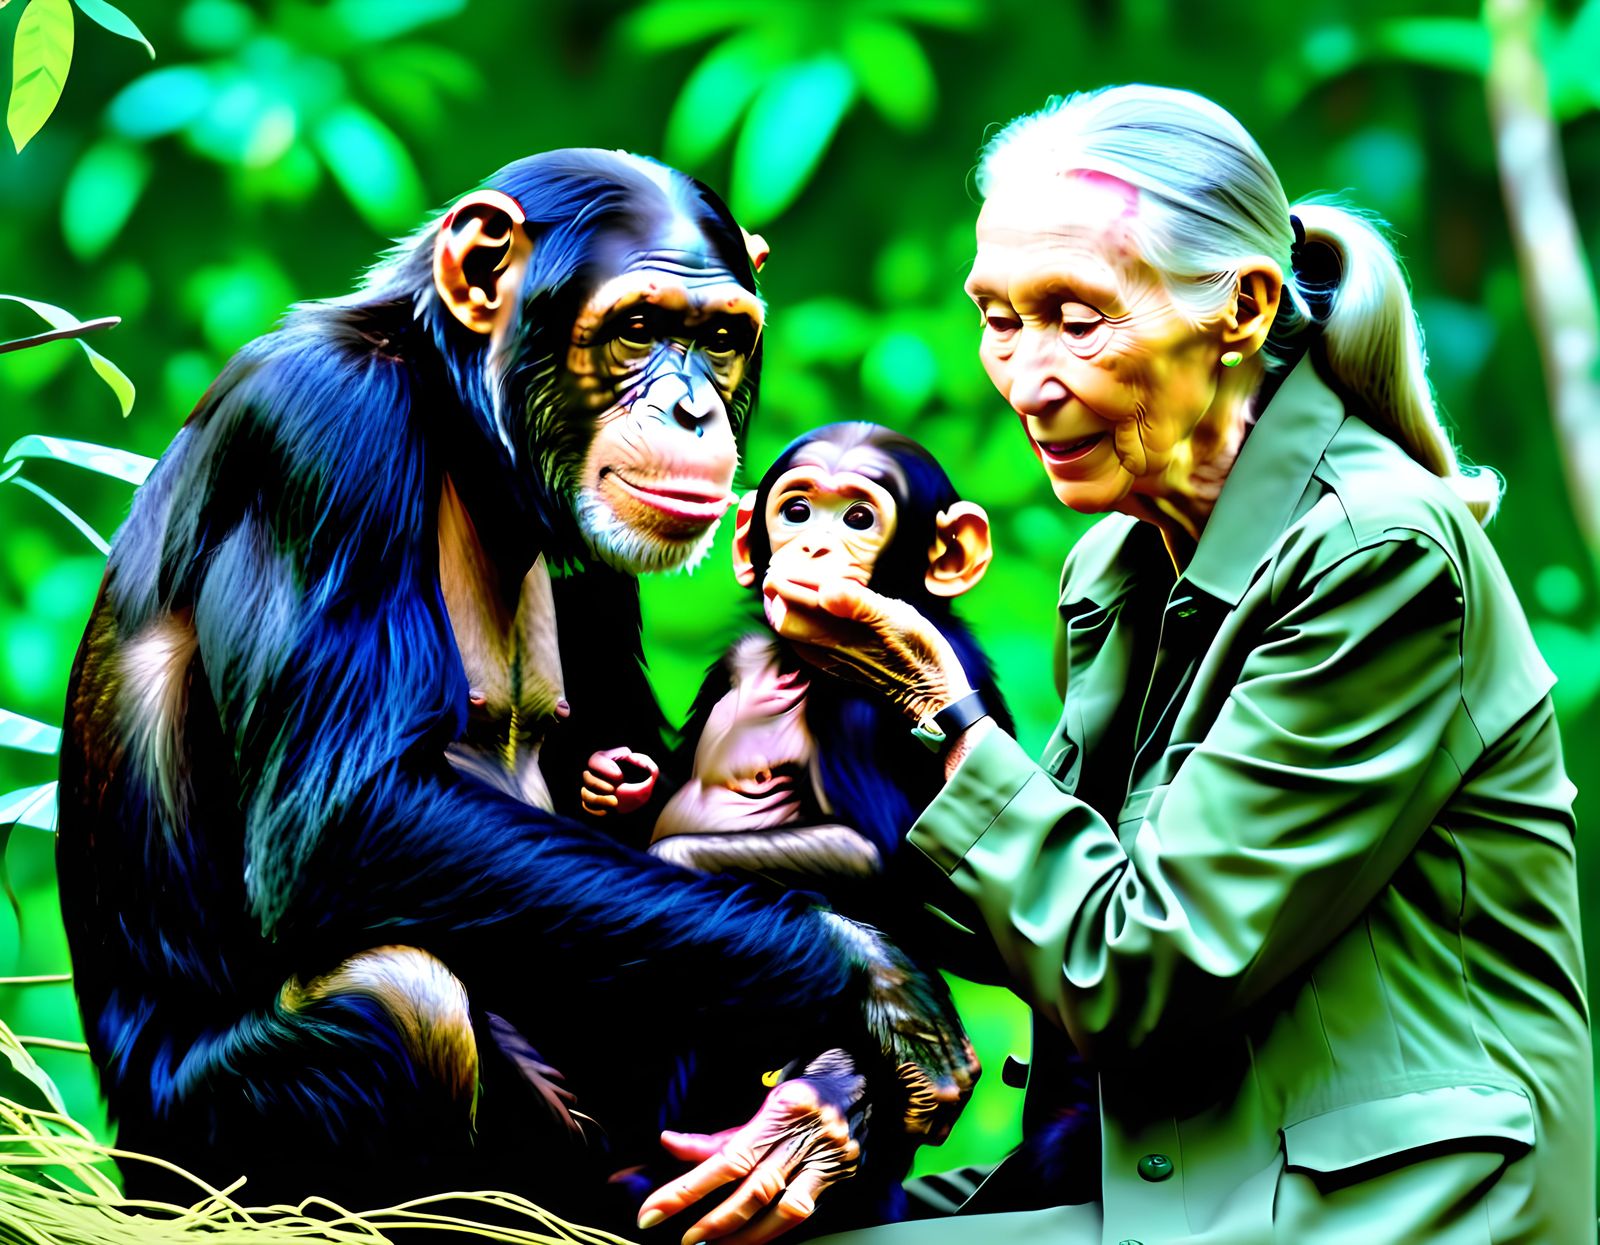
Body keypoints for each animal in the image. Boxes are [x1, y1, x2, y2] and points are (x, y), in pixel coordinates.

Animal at [56, 153, 977, 1233]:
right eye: (637, 328)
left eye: (719, 338)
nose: (692, 412)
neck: (463, 435)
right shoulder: (322, 427)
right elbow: (344, 819)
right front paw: (872, 983)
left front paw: (829, 1103)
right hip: (200, 1165)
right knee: (406, 997)